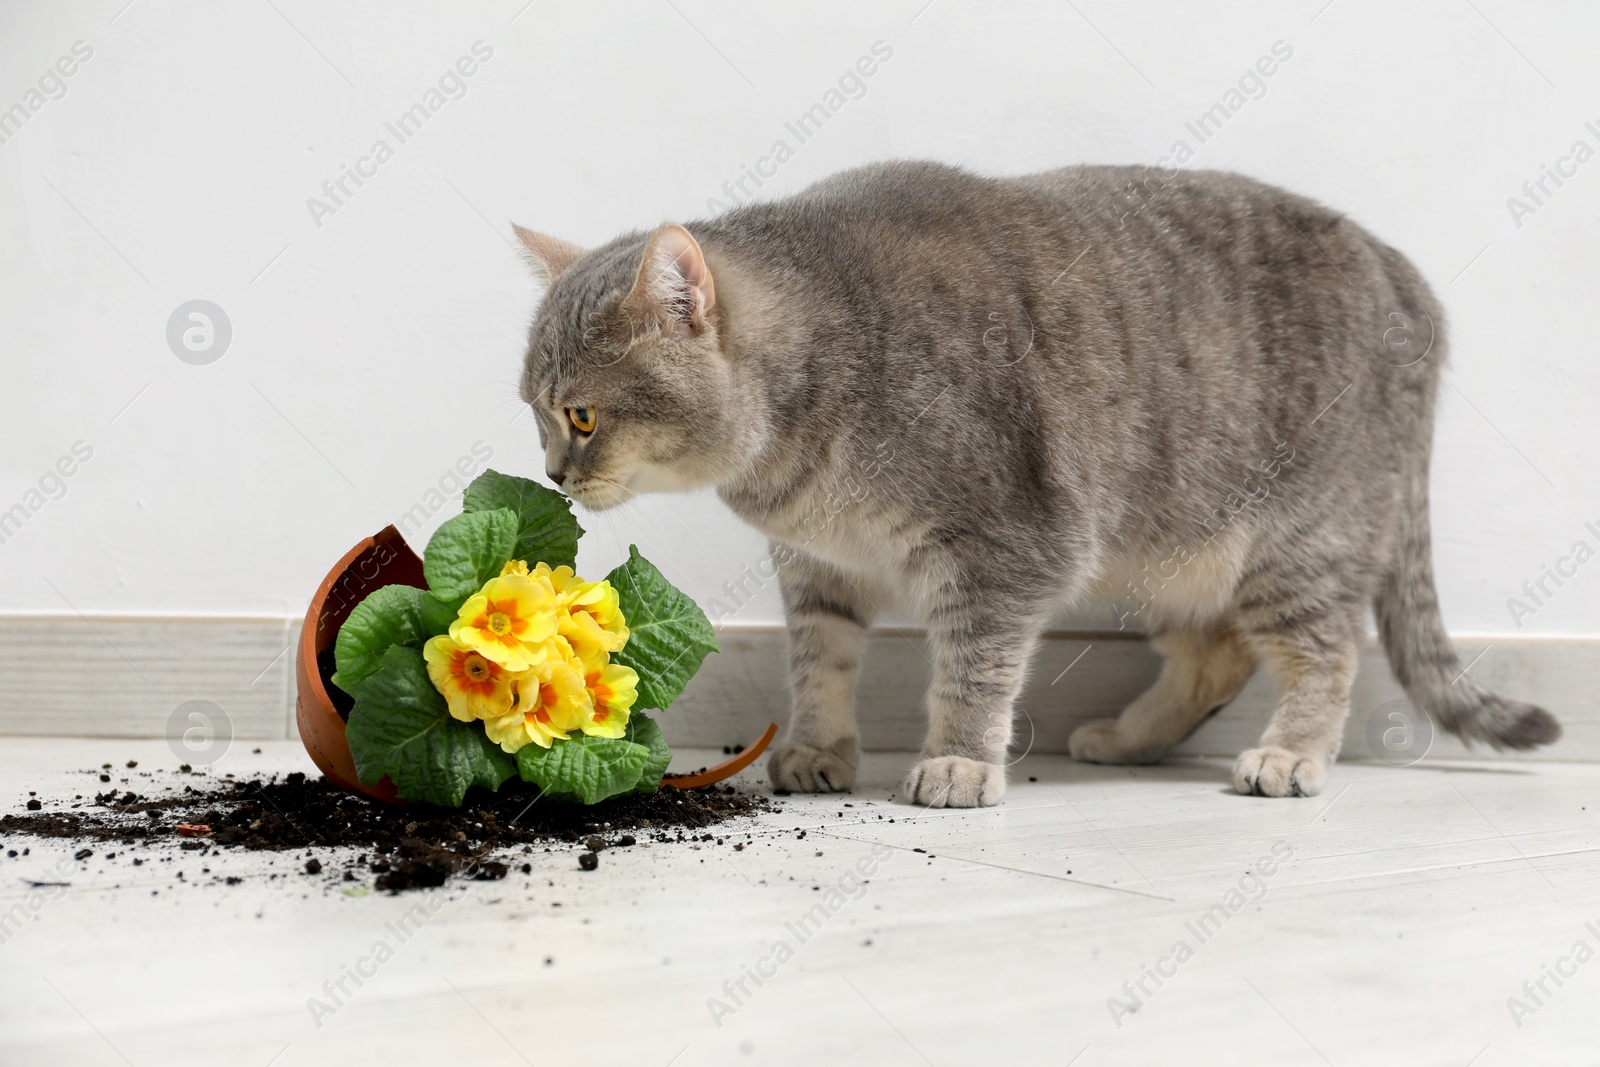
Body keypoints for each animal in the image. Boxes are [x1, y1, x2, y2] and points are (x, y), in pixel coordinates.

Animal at [515, 163, 1561, 806]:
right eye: (534, 408)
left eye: (583, 416)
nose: (553, 474)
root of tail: (1405, 276)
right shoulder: (818, 568)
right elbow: (820, 661)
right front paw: (819, 747)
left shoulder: (1007, 549)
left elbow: (973, 669)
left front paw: (956, 763)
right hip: (1166, 553)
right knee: (1215, 655)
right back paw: (1129, 738)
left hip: (1300, 542)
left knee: (1323, 652)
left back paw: (1292, 752)